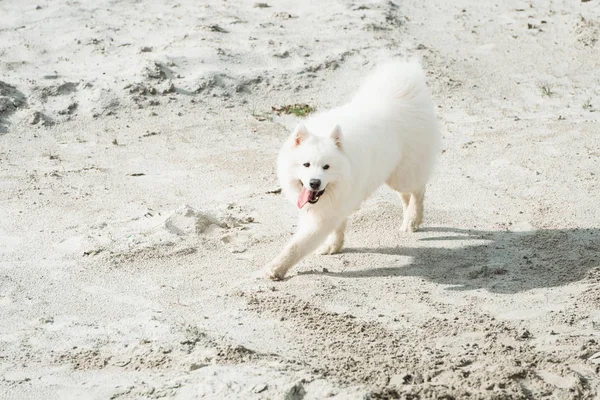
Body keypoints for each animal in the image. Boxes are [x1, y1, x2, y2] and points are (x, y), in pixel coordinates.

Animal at [262, 59, 436, 280]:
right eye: (306, 164)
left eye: (326, 167)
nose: (314, 183)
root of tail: (402, 94)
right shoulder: (336, 203)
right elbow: (338, 226)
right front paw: (334, 246)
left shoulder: (323, 214)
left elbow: (297, 245)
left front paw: (276, 268)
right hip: (392, 173)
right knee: (407, 195)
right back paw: (408, 218)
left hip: (403, 174)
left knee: (418, 190)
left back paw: (413, 219)